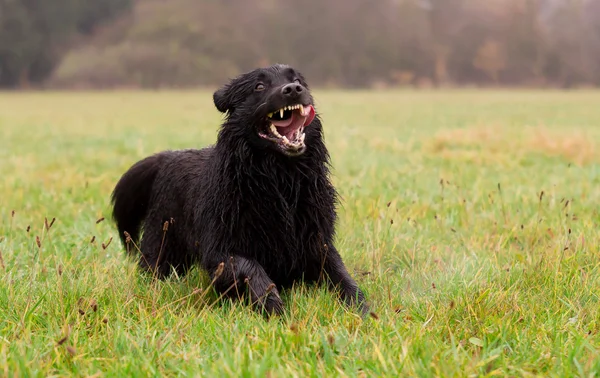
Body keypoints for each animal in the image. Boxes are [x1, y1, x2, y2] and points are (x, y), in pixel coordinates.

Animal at [110, 64, 368, 316]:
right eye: (259, 86)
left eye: (297, 81)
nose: (293, 90)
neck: (280, 181)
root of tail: (166, 157)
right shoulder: (220, 250)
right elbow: (251, 267)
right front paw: (272, 305)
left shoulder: (317, 242)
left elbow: (341, 275)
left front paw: (360, 307)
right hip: (162, 245)